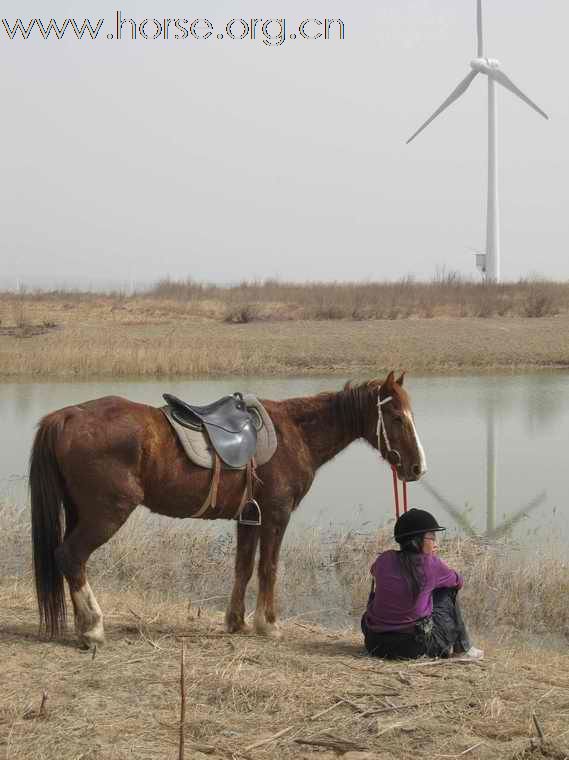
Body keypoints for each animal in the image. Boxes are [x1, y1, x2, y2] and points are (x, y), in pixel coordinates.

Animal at [28, 372, 424, 644]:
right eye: (397, 418)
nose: (418, 467)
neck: (295, 432)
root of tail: (67, 416)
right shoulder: (276, 515)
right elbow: (268, 568)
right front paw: (269, 625)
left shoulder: (248, 518)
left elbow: (243, 568)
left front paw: (237, 622)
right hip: (107, 514)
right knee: (71, 556)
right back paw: (93, 628)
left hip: (80, 512)